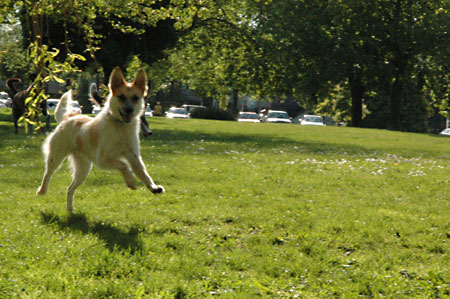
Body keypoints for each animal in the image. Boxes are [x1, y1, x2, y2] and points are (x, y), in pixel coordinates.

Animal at [36, 68, 163, 213]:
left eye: (136, 98)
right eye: (121, 96)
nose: (129, 110)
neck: (120, 127)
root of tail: (69, 117)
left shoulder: (134, 156)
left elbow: (143, 172)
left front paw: (153, 187)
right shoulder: (102, 160)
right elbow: (123, 165)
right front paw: (131, 181)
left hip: (83, 170)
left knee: (70, 189)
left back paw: (70, 209)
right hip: (56, 157)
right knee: (48, 173)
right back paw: (42, 190)